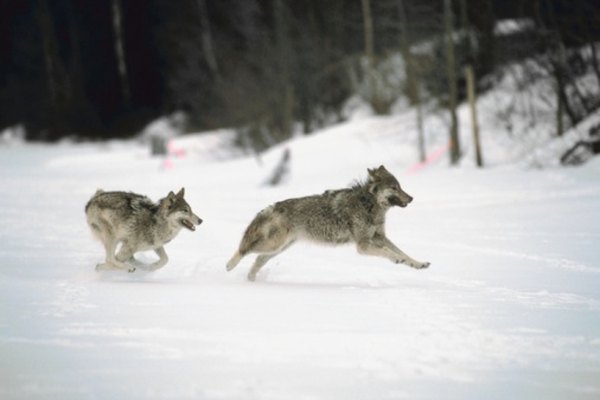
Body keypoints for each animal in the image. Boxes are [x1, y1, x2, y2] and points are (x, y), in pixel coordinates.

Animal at [226, 166, 432, 282]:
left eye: (400, 186)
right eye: (394, 188)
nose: (411, 198)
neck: (369, 205)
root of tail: (272, 206)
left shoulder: (380, 237)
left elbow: (403, 253)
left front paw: (418, 264)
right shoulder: (363, 245)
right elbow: (389, 253)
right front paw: (397, 260)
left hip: (278, 248)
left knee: (257, 259)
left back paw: (252, 280)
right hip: (273, 245)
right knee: (244, 250)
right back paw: (230, 266)